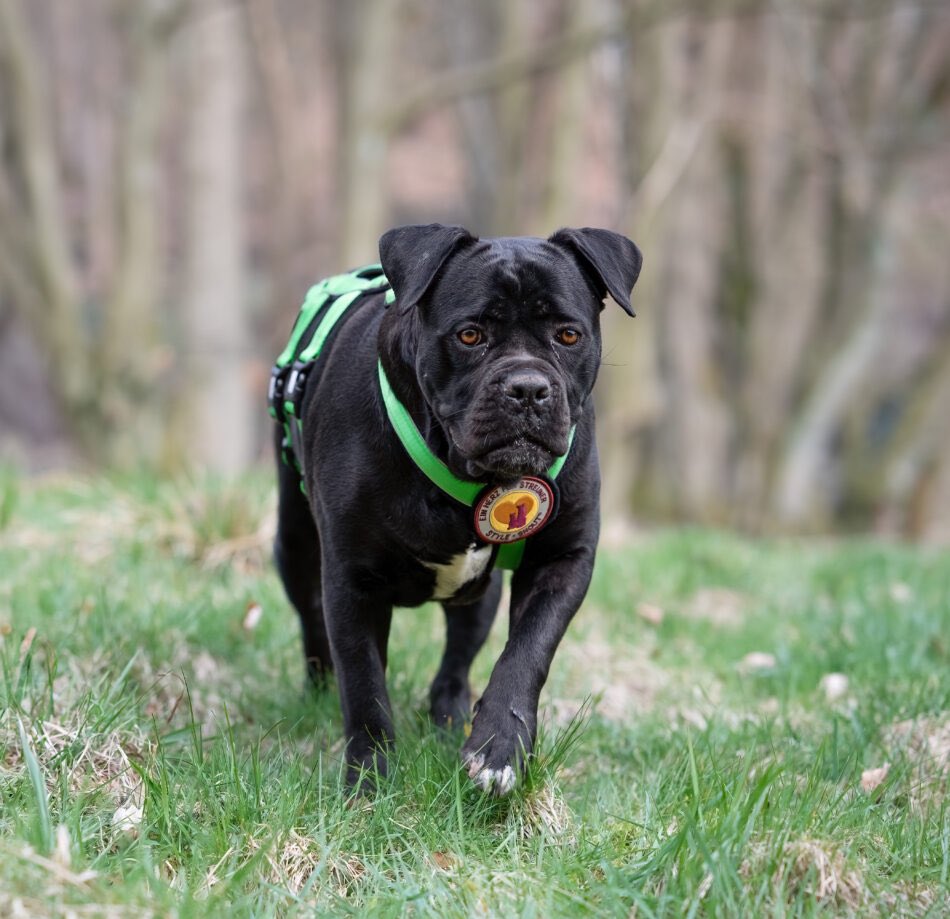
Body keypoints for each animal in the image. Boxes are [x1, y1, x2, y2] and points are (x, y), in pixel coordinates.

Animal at [276, 225, 648, 796]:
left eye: (568, 335)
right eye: (470, 335)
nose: (527, 388)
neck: (472, 478)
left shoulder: (564, 561)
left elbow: (526, 654)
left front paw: (498, 748)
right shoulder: (351, 580)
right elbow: (364, 686)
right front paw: (369, 782)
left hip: (479, 594)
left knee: (457, 657)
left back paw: (450, 718)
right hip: (293, 545)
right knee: (314, 623)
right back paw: (318, 692)